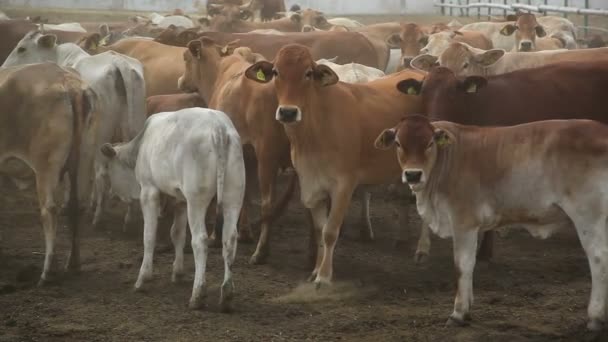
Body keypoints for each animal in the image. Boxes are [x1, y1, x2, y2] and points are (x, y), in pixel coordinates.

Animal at [0, 62, 98, 284]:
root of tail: (67, 81)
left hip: (46, 168)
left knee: (50, 210)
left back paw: (47, 272)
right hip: (81, 160)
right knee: (75, 206)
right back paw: (73, 264)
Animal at [2, 30, 148, 230]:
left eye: (21, 48)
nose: (4, 67)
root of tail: (120, 63)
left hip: (101, 135)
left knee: (101, 173)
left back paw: (97, 217)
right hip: (133, 125)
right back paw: (129, 216)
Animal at [100, 108, 245, 312]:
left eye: (109, 168)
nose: (112, 194)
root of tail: (219, 128)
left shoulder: (149, 191)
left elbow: (149, 236)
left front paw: (143, 278)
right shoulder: (180, 200)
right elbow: (177, 234)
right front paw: (177, 273)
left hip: (197, 200)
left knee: (200, 240)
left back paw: (197, 295)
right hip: (234, 196)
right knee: (229, 239)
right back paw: (226, 294)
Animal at [242, 44, 422, 284]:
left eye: (308, 73)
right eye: (276, 72)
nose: (288, 112)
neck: (316, 130)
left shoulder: (344, 185)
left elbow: (330, 231)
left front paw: (324, 277)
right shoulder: (311, 184)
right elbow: (320, 229)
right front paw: (315, 270)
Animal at [376, 115, 608, 332]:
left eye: (430, 143)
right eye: (398, 143)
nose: (413, 175)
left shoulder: (464, 222)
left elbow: (462, 265)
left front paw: (458, 313)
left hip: (588, 215)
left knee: (598, 258)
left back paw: (595, 317)